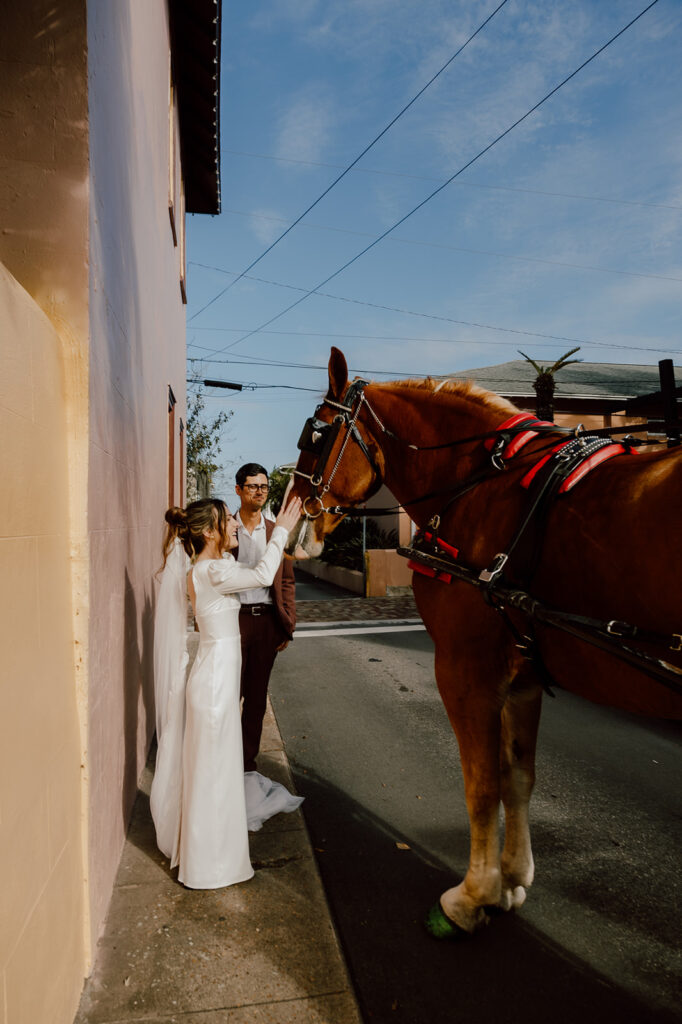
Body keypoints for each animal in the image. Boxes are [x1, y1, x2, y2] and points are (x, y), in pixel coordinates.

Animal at [282, 350, 679, 937]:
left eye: (317, 432)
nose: (287, 526)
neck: (480, 487)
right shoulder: (522, 674)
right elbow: (518, 777)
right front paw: (512, 878)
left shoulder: (465, 670)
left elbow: (481, 784)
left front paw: (473, 896)